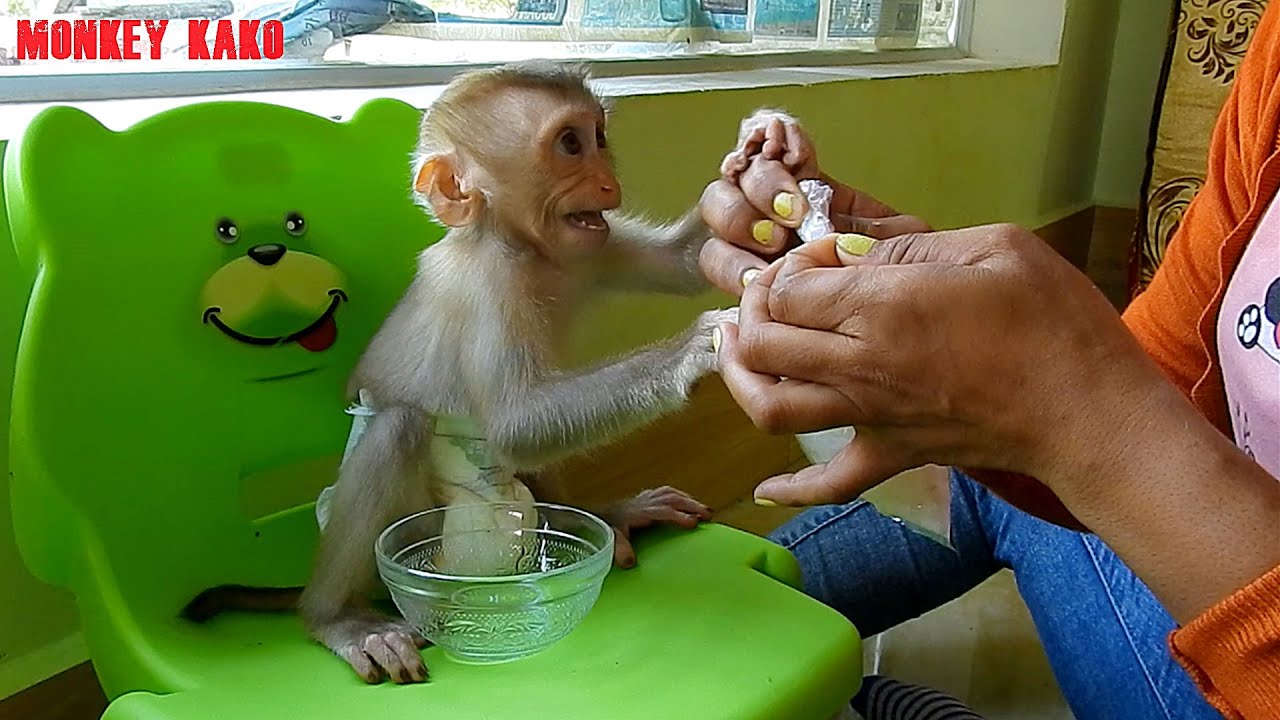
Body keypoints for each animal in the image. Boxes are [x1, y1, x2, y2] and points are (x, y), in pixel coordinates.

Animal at [183, 61, 743, 685]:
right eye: (569, 145)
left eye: (598, 138)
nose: (606, 183)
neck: (518, 244)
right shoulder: (490, 286)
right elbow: (516, 425)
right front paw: (698, 345)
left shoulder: (587, 244)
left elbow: (682, 264)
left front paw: (760, 154)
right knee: (400, 428)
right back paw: (335, 617)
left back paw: (602, 517)